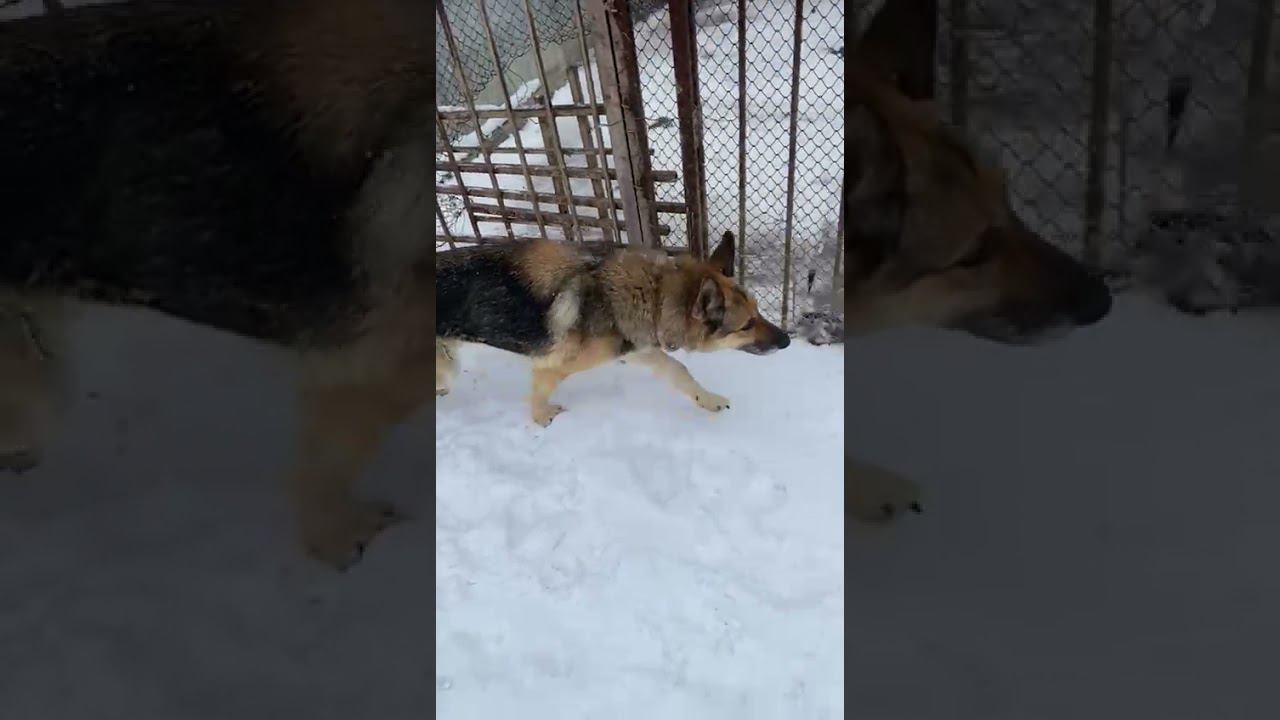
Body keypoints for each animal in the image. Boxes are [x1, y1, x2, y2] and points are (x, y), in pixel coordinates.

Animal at [435, 231, 791, 427]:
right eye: (746, 325)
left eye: (759, 312)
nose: (787, 340)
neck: (655, 294)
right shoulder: (550, 368)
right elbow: (538, 395)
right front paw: (542, 419)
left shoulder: (639, 349)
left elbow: (679, 371)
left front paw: (708, 399)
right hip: (448, 368)